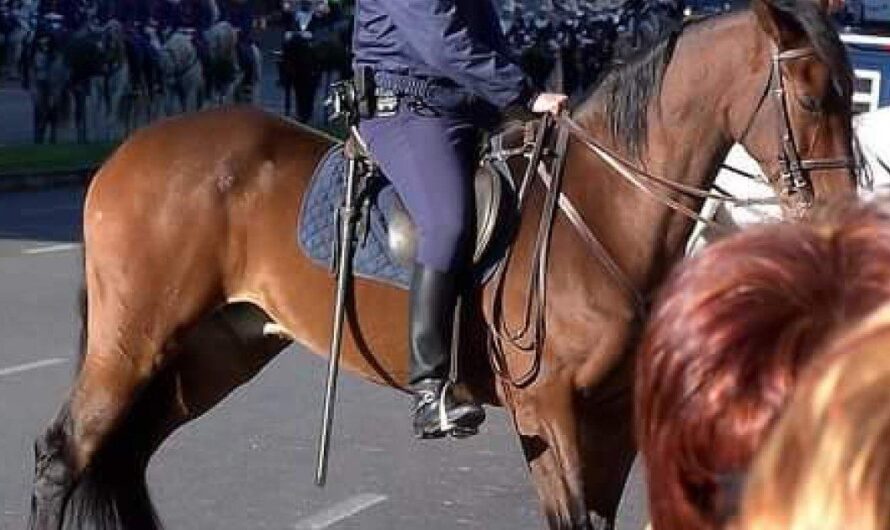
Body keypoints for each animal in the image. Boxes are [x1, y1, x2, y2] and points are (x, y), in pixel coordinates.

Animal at [29, 1, 852, 528]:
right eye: (813, 98)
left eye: (849, 90)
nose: (844, 206)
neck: (600, 212)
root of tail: (130, 151)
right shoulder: (548, 413)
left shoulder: (611, 417)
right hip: (132, 343)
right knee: (62, 459)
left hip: (210, 354)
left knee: (122, 458)